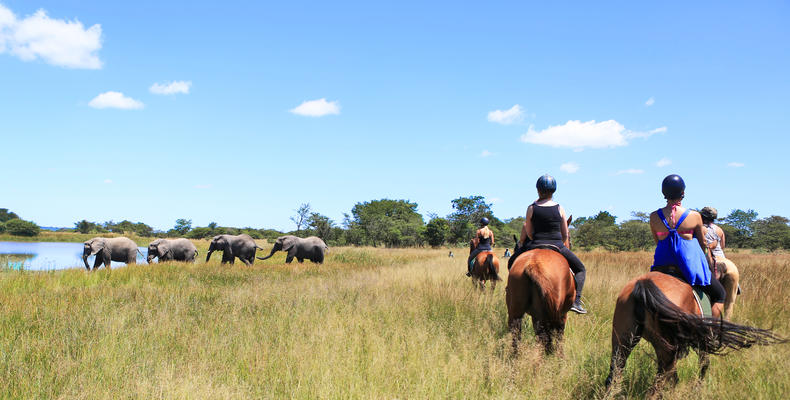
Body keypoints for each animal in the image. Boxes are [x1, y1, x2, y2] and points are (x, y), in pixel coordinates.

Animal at [608, 270, 784, 396]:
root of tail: (643, 284)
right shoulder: (705, 337)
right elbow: (704, 363)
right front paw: (698, 387)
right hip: (667, 347)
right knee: (657, 384)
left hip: (623, 341)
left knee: (614, 375)